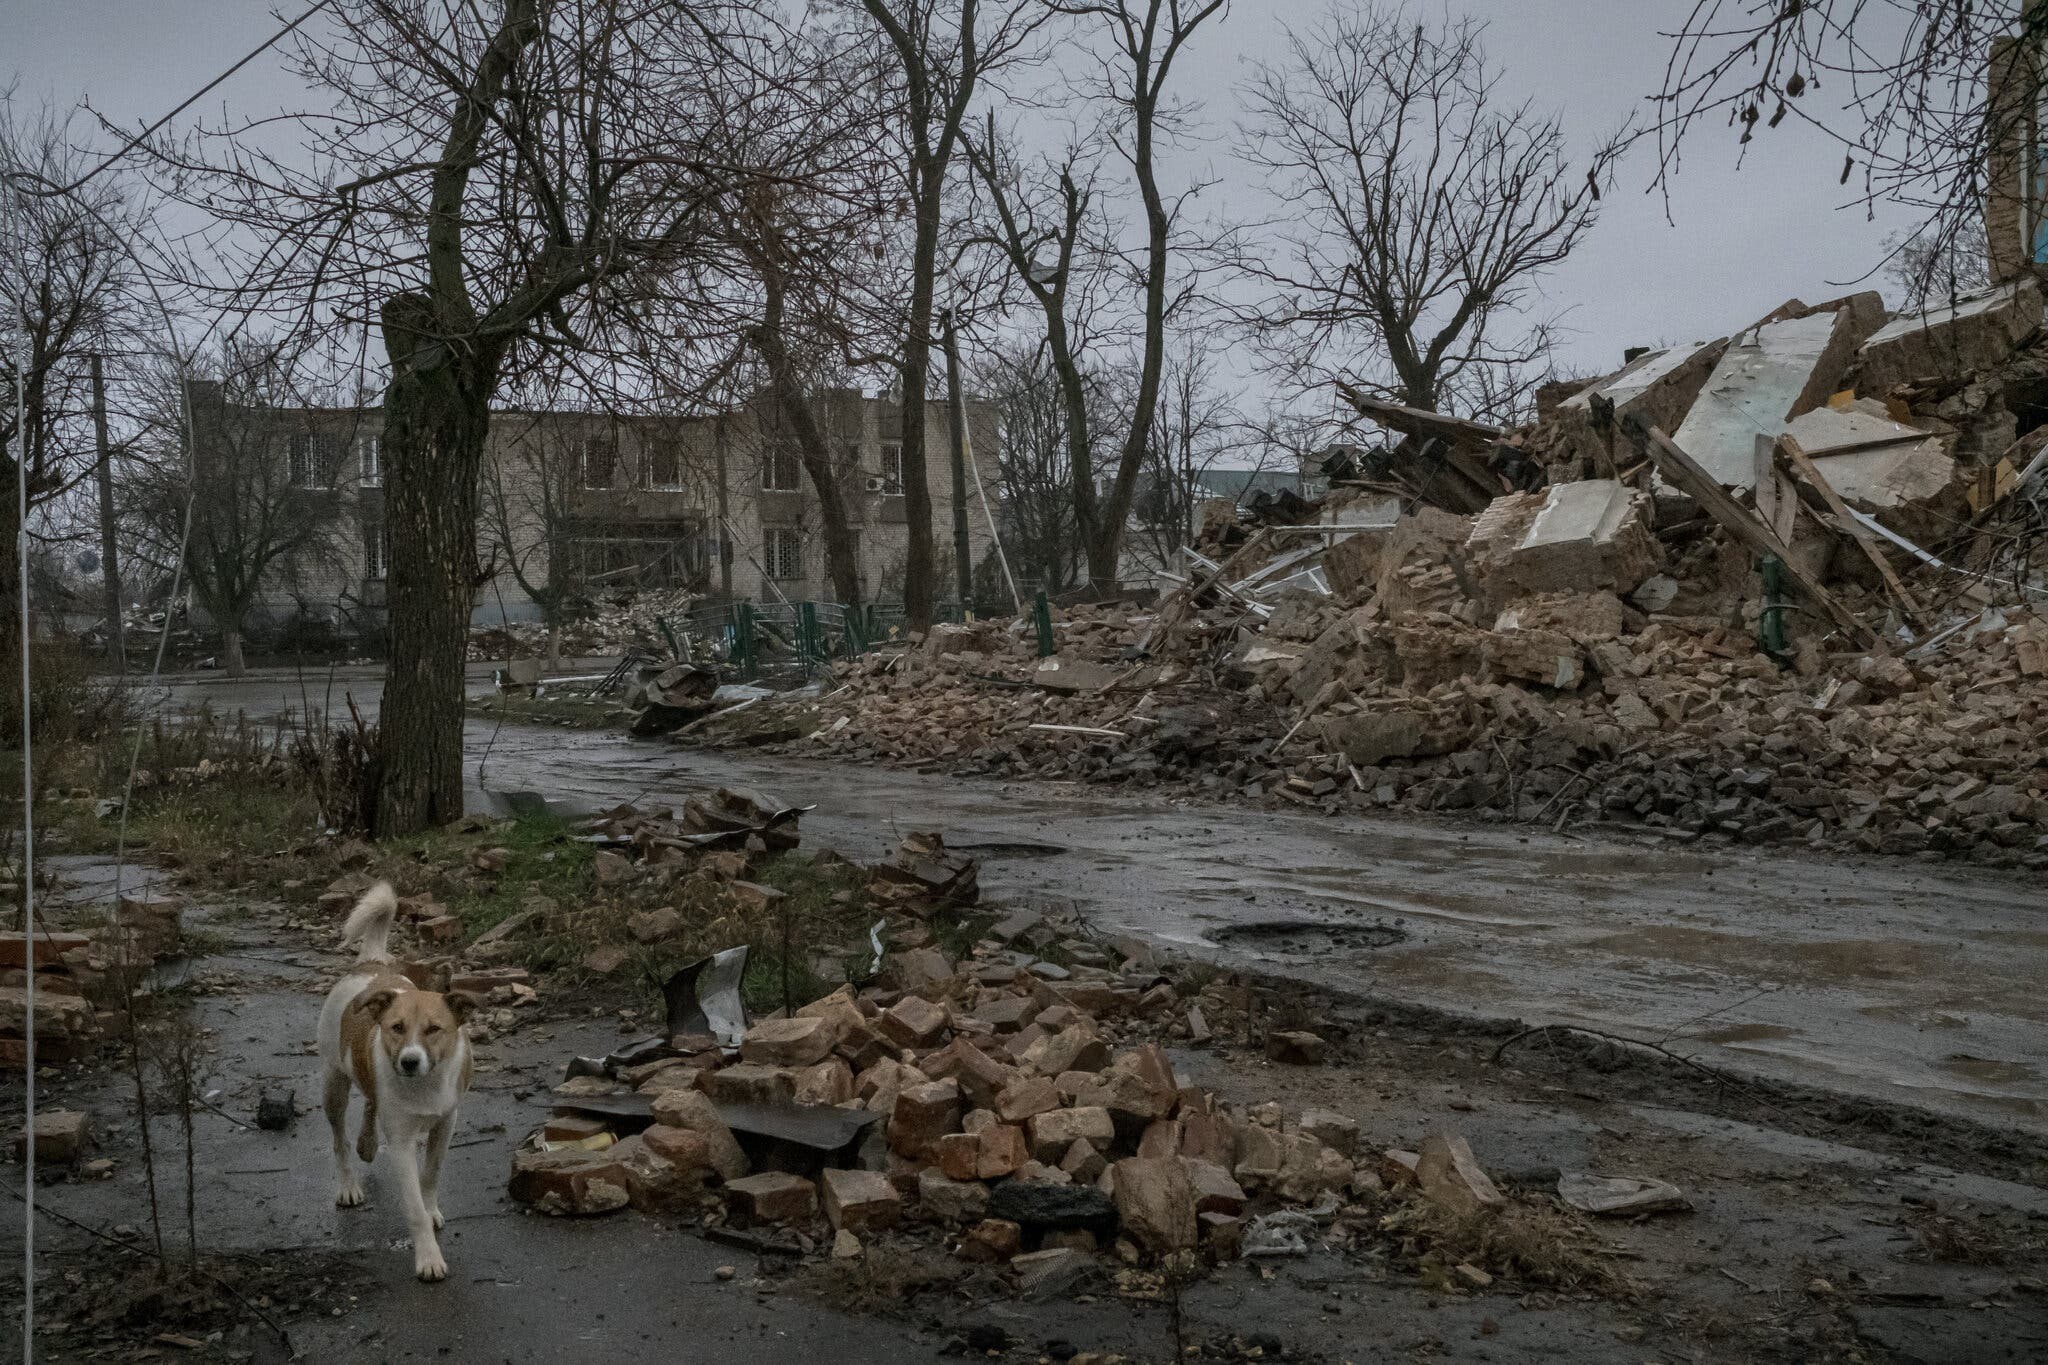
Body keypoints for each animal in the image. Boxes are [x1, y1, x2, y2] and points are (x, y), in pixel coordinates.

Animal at [317, 888, 477, 1285]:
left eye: (434, 1029)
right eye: (396, 1027)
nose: (408, 1062)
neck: (427, 1082)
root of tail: (371, 964)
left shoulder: (445, 1125)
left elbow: (430, 1176)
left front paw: (431, 1209)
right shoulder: (402, 1143)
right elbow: (413, 1206)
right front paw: (429, 1258)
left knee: (370, 1102)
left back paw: (367, 1143)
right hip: (332, 1085)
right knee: (339, 1140)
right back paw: (349, 1185)